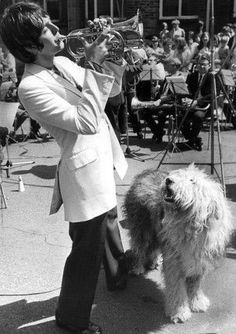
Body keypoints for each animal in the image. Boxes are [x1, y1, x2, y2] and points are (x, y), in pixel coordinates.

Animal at [123, 164, 232, 324]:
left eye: (192, 181)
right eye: (178, 175)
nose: (168, 180)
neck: (191, 226)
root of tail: (146, 172)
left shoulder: (199, 261)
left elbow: (195, 285)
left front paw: (197, 303)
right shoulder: (174, 262)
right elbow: (177, 288)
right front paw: (179, 312)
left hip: (156, 230)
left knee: (152, 248)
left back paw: (153, 262)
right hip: (142, 225)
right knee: (139, 246)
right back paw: (137, 267)